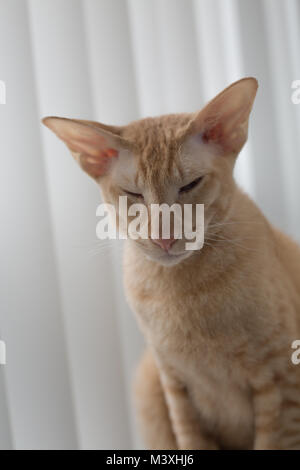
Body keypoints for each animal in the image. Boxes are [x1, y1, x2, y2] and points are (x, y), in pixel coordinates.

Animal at [42, 78, 300, 452]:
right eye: (133, 194)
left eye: (190, 185)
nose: (163, 237)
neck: (184, 292)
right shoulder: (176, 388)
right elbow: (191, 442)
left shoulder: (280, 380)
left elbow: (273, 443)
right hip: (147, 384)